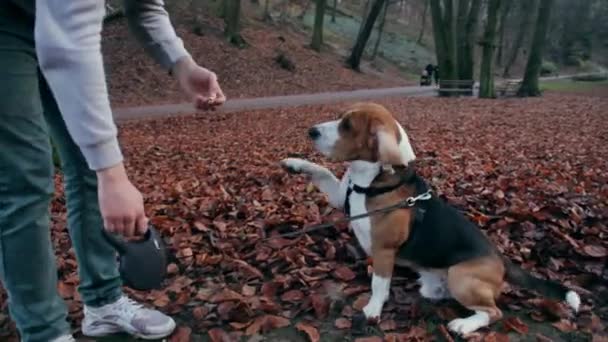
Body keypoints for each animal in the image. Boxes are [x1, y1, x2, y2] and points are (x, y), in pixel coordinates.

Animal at [280, 103, 580, 336]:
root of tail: (501, 259)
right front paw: (294, 163)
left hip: (461, 276)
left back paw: (464, 325)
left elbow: (379, 283)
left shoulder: (384, 250)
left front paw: (373, 309)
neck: (372, 181)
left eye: (347, 125)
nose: (311, 131)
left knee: (493, 312)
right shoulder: (339, 195)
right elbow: (321, 171)